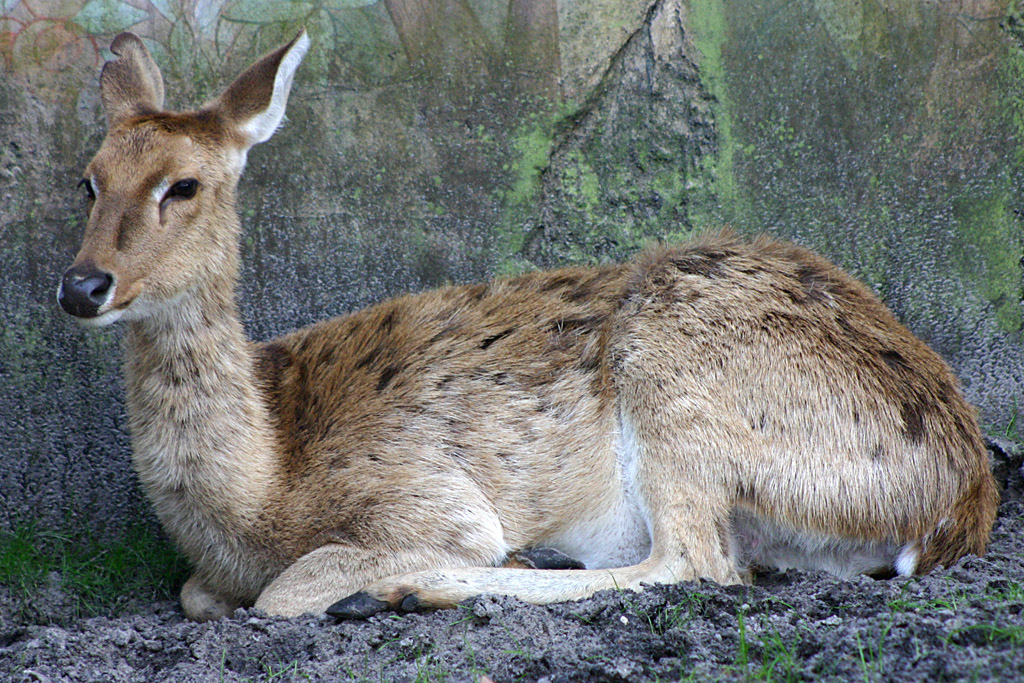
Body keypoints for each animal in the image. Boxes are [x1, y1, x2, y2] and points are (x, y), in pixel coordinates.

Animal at [57, 30, 998, 622]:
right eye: (88, 177)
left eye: (183, 185)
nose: (82, 284)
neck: (264, 482)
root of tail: (959, 500)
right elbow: (196, 593)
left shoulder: (426, 495)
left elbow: (286, 586)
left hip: (679, 381)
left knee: (694, 561)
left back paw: (432, 585)